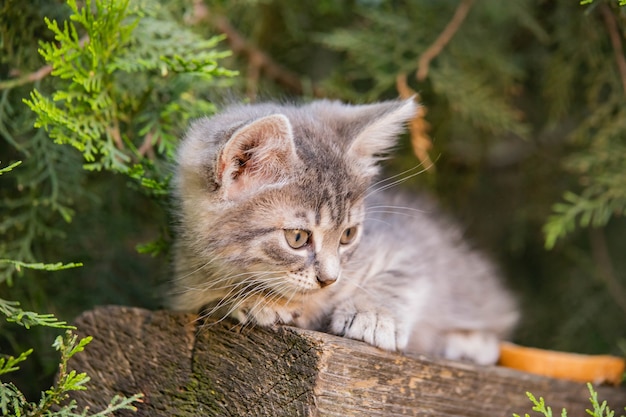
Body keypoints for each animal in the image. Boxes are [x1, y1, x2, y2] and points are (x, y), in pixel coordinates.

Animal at [169, 98, 516, 364]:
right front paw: (254, 300)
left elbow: (405, 274)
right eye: (297, 238)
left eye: (348, 235)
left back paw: (470, 344)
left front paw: (373, 313)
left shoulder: (409, 243)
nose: (329, 279)